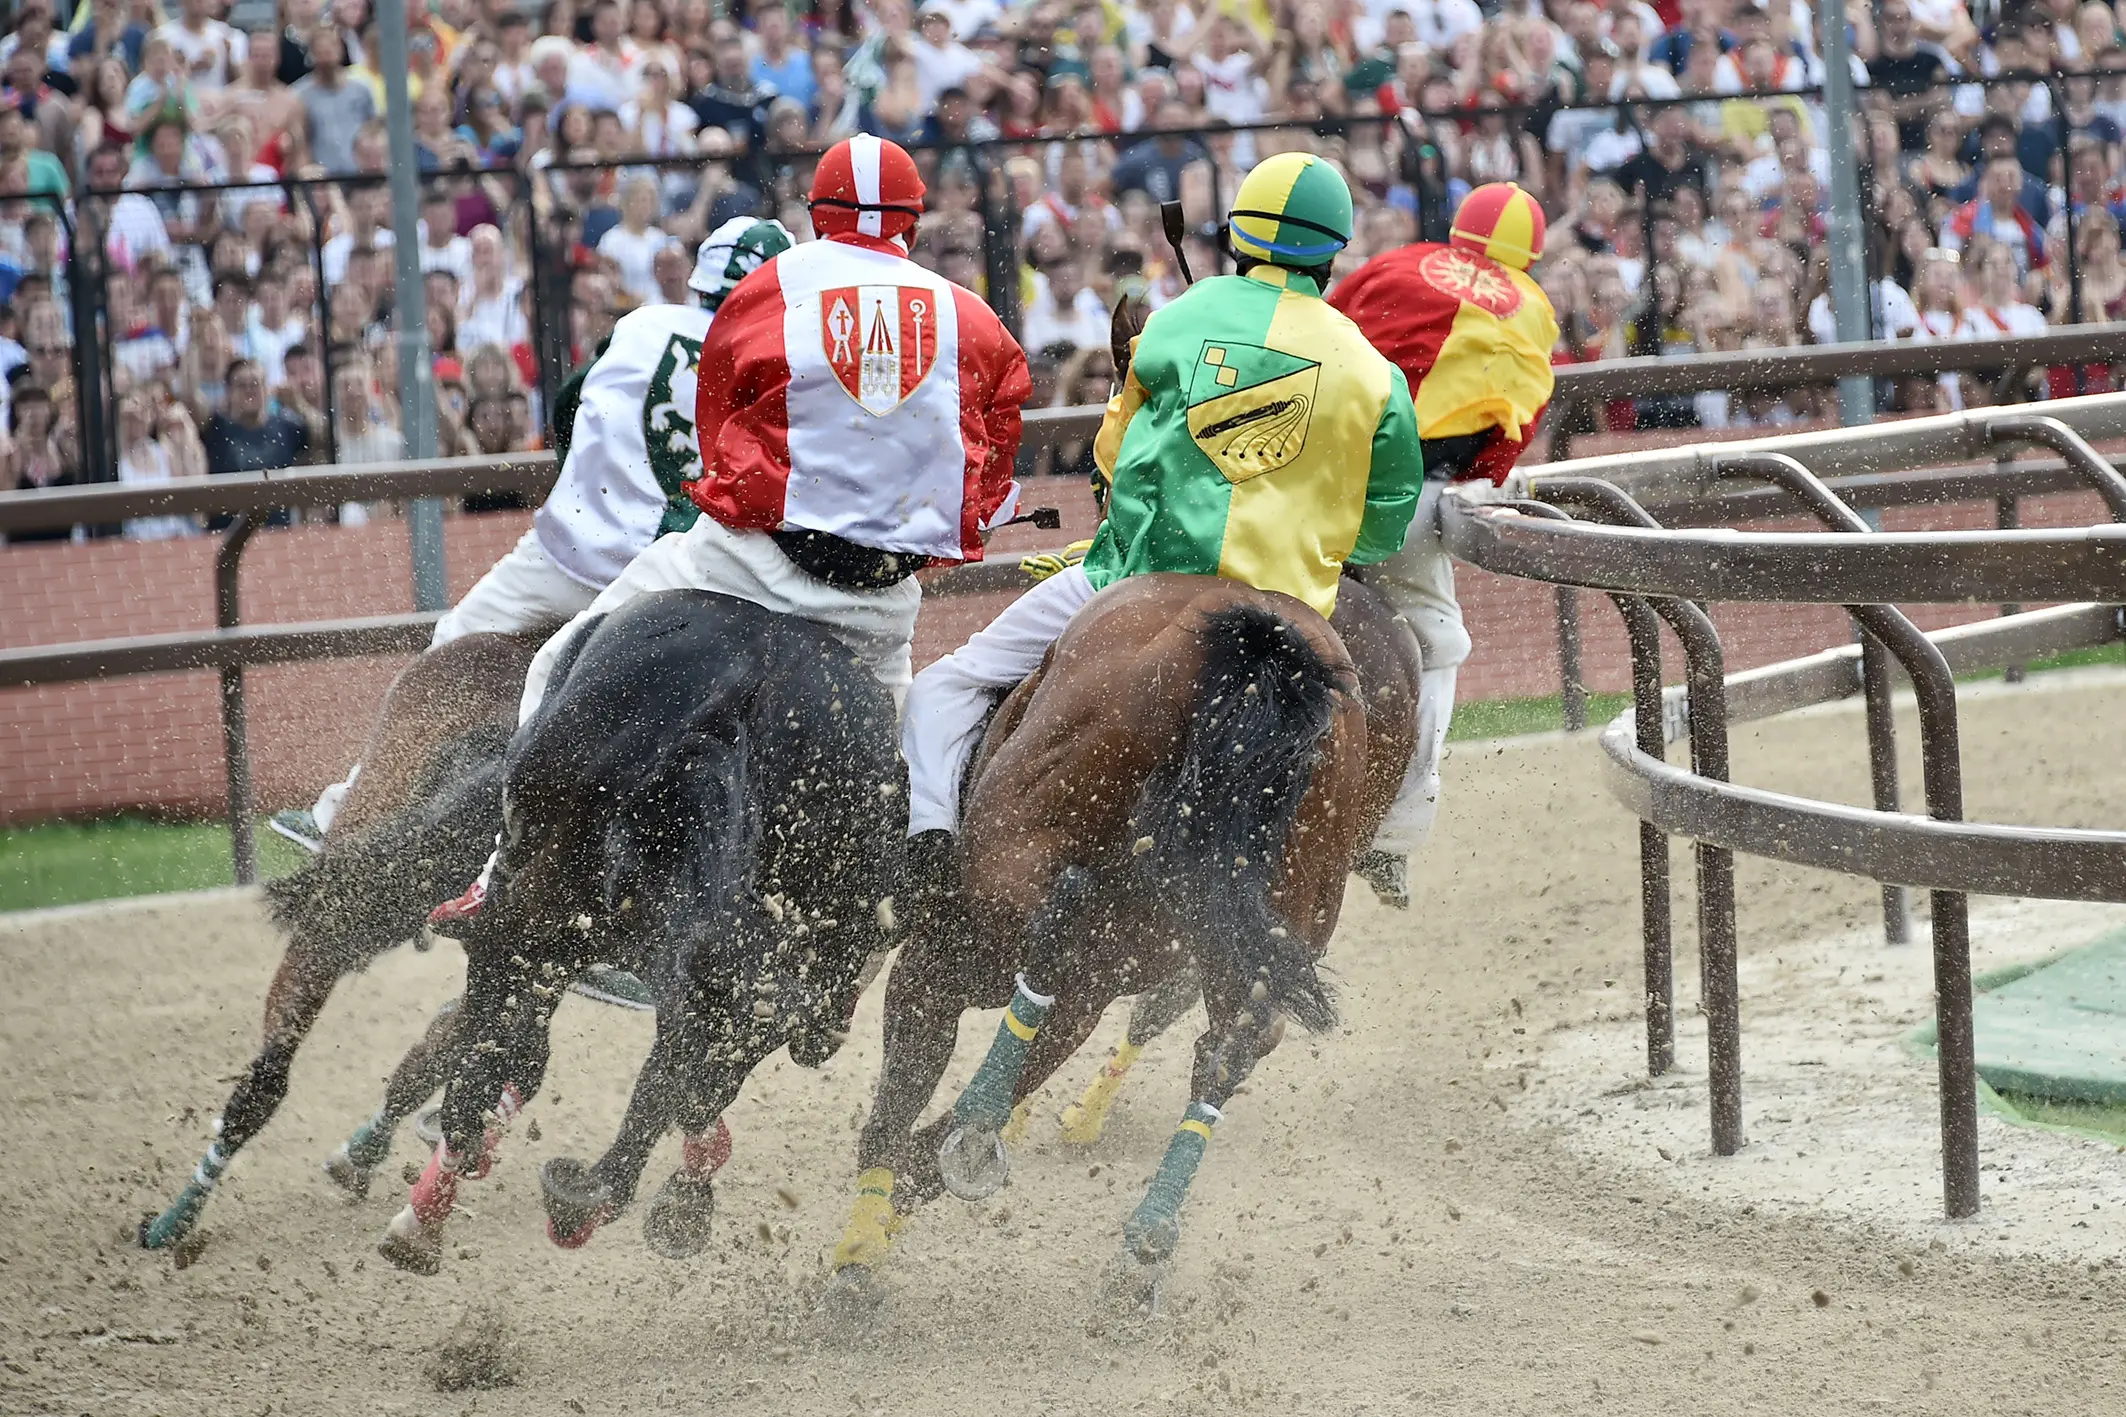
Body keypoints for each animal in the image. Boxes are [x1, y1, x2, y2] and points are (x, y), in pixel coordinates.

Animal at [824, 573, 1411, 1317]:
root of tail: (1267, 647)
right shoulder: (1083, 998)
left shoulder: (939, 962)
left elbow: (896, 1117)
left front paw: (855, 1260)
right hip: (1283, 897)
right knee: (1228, 1047)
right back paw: (1143, 1240)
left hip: (1012, 881)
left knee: (1049, 927)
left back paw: (985, 1125)